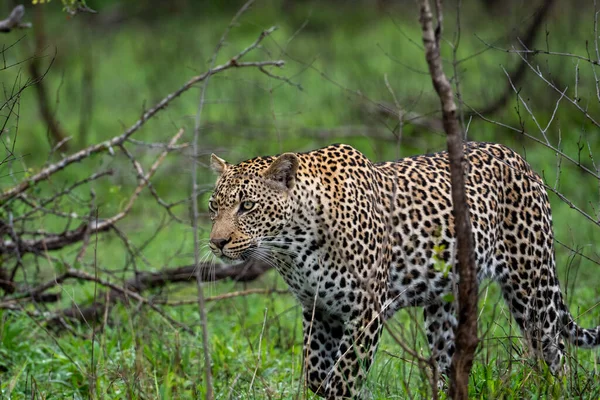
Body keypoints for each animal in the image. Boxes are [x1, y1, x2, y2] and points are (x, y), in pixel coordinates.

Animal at [207, 142, 600, 398]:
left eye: (247, 206)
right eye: (214, 206)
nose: (217, 243)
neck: (294, 247)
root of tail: (519, 158)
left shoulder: (367, 311)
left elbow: (342, 379)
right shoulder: (319, 309)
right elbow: (317, 374)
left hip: (531, 286)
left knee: (554, 356)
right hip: (445, 305)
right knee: (448, 363)